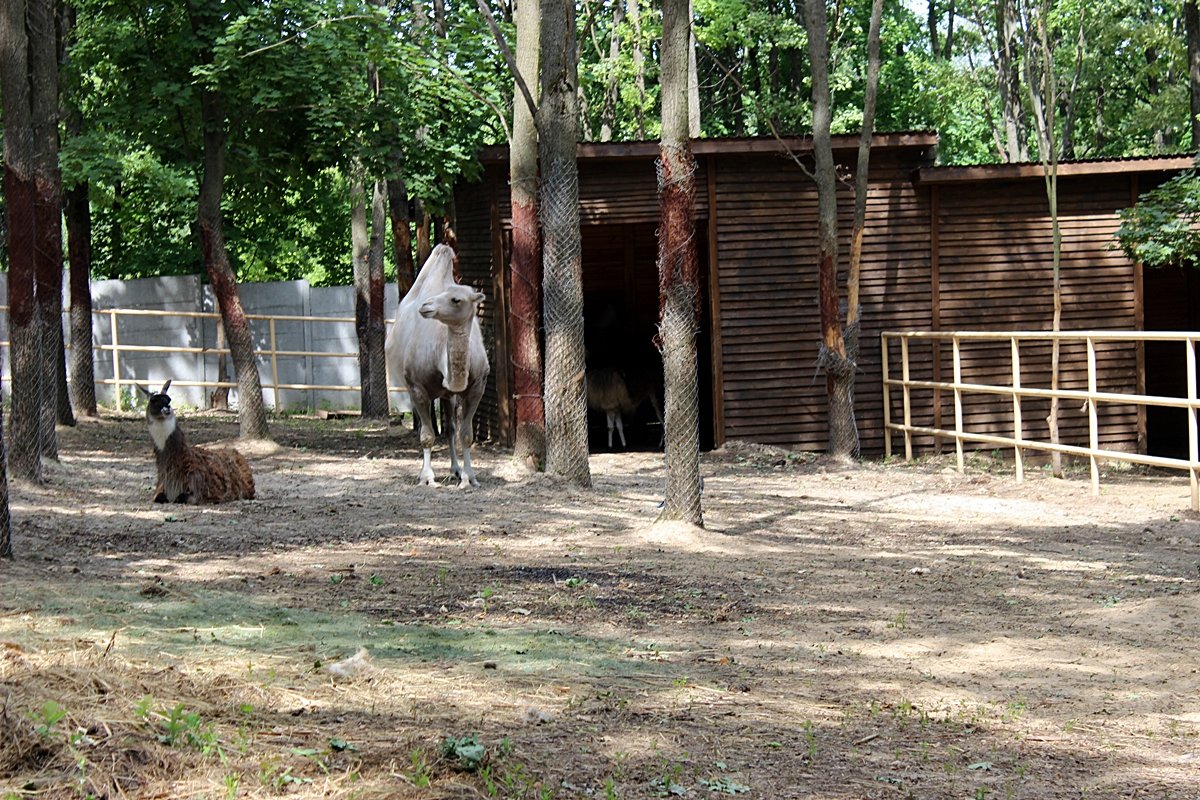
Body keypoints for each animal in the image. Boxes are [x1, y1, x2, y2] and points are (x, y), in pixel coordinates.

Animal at [388, 244, 492, 484]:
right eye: (440, 294)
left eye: (456, 299)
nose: (426, 306)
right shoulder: (417, 387)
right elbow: (427, 435)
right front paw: (427, 478)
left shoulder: (477, 387)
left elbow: (465, 434)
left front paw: (469, 477)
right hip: (412, 387)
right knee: (426, 427)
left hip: (448, 395)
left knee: (451, 428)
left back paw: (455, 469)